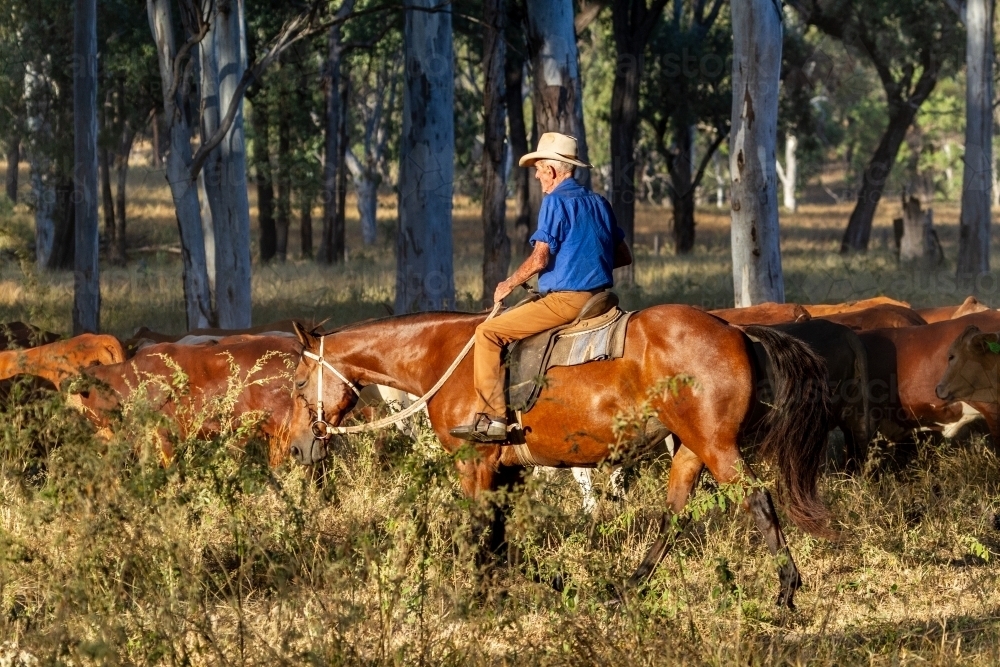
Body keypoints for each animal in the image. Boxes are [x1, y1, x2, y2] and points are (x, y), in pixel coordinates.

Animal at [290, 306, 836, 608]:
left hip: (717, 446)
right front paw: (536, 583)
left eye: (297, 383)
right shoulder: (507, 471)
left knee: (759, 501)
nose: (298, 447)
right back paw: (626, 588)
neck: (445, 356)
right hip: (690, 449)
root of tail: (738, 331)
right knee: (673, 518)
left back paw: (786, 591)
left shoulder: (475, 463)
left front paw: (474, 598)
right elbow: (500, 540)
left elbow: (478, 532)